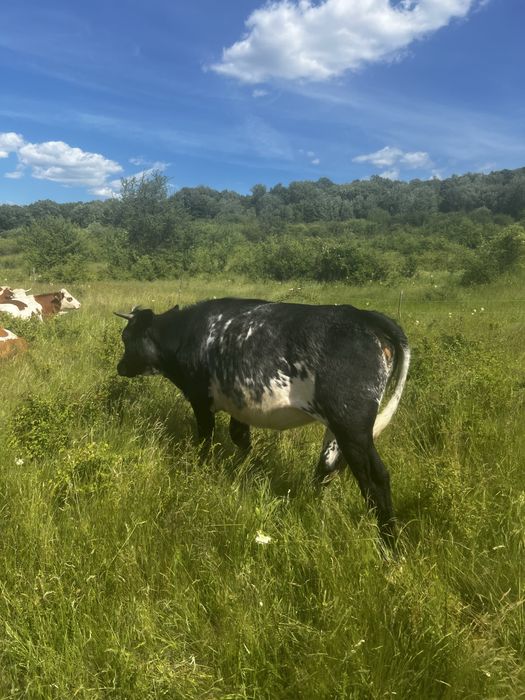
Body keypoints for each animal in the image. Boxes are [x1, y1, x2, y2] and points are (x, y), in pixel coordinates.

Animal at [115, 298, 410, 544]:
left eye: (126, 337)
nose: (120, 367)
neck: (187, 333)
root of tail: (364, 315)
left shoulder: (200, 399)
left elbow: (206, 440)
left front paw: (201, 472)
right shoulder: (240, 406)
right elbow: (240, 439)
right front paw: (248, 473)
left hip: (352, 424)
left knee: (375, 477)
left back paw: (389, 544)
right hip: (340, 428)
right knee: (328, 467)